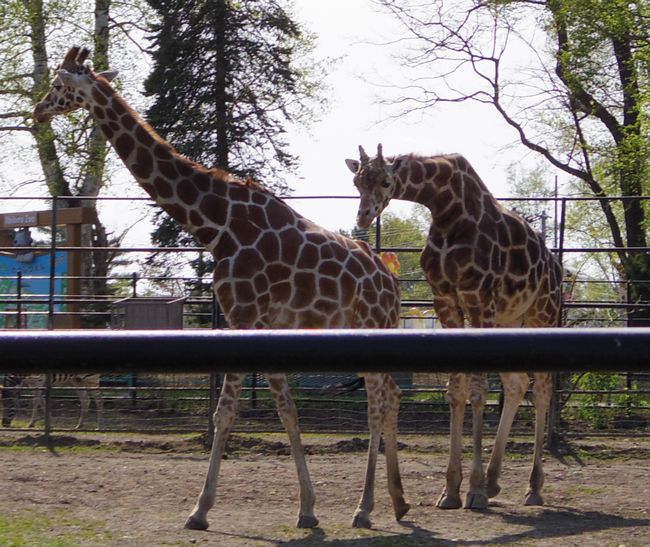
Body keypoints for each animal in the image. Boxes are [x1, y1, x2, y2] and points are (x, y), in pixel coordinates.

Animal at [33, 47, 408, 532]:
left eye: (60, 84)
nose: (39, 109)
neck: (215, 223)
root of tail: (391, 282)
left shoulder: (243, 315)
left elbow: (226, 410)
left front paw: (200, 509)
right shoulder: (259, 323)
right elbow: (284, 408)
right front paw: (307, 508)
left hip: (371, 326)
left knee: (378, 402)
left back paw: (365, 507)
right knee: (389, 396)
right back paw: (397, 503)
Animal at [344, 144, 560, 510]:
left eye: (386, 182)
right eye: (357, 181)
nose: (362, 217)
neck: (446, 210)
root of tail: (556, 267)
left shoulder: (478, 298)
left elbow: (478, 389)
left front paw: (473, 490)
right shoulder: (445, 300)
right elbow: (456, 390)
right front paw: (451, 489)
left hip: (542, 313)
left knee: (542, 386)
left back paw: (533, 488)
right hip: (508, 319)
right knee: (517, 383)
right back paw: (494, 481)